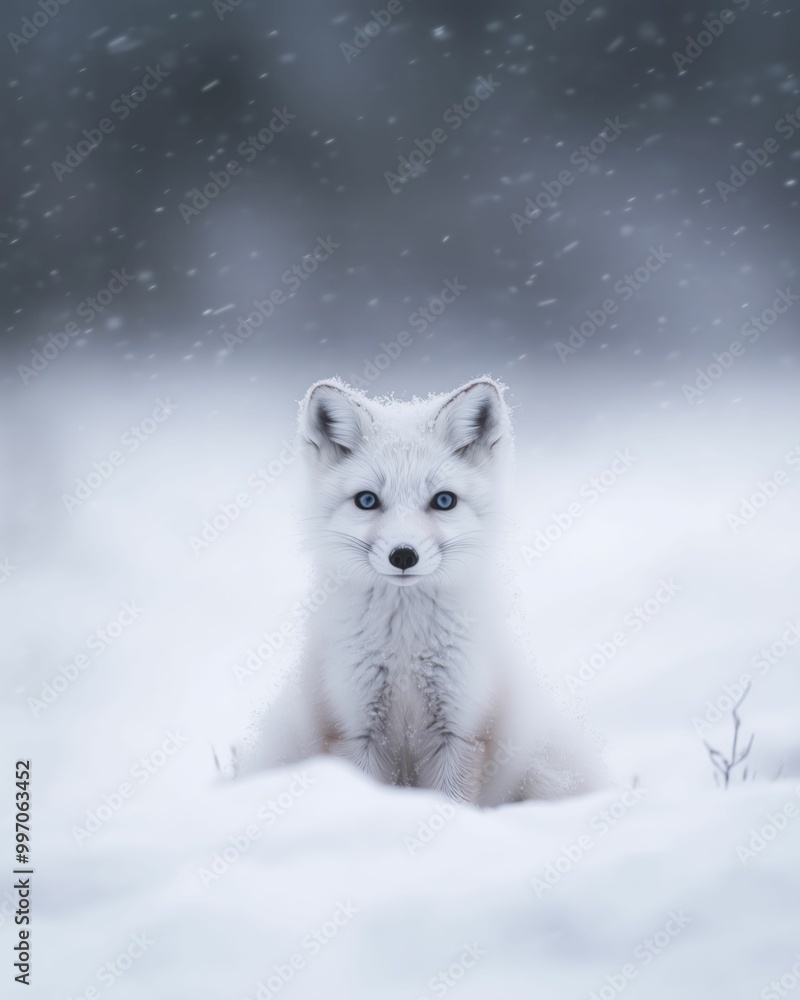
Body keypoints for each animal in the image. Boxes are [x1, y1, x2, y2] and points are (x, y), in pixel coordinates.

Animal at [237, 377, 606, 805]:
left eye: (443, 501)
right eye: (367, 500)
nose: (403, 555)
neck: (404, 648)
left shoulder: (462, 730)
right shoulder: (352, 727)